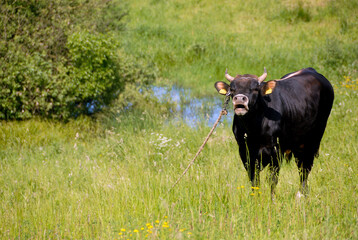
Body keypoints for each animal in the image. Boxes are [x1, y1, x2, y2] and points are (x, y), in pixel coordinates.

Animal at [215, 68, 336, 197]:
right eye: (232, 89)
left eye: (255, 88)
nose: (239, 99)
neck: (254, 130)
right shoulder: (245, 152)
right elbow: (254, 179)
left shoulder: (276, 151)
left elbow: (272, 180)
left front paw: (272, 199)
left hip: (313, 140)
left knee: (305, 168)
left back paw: (302, 194)